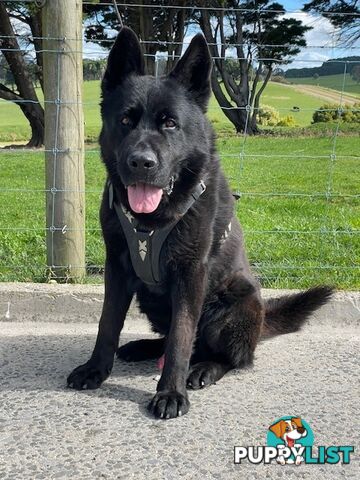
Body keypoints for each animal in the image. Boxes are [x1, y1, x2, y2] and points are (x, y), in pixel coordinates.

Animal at [67, 29, 332, 420]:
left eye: (170, 123)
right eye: (126, 121)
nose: (141, 162)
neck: (151, 222)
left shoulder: (190, 274)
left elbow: (182, 335)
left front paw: (171, 392)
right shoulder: (117, 268)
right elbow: (108, 323)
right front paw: (96, 369)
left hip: (231, 305)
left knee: (231, 357)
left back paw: (204, 369)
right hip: (151, 301)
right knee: (174, 339)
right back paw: (144, 347)